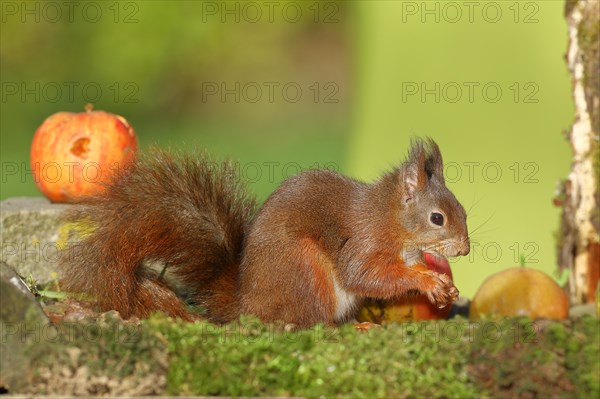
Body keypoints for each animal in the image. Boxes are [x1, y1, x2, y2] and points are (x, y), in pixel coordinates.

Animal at [63, 138, 472, 328]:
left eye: (463, 210)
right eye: (437, 218)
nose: (466, 250)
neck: (394, 222)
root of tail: (249, 305)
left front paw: (447, 286)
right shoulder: (365, 241)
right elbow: (366, 274)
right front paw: (426, 280)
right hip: (305, 269)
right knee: (306, 323)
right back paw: (343, 328)